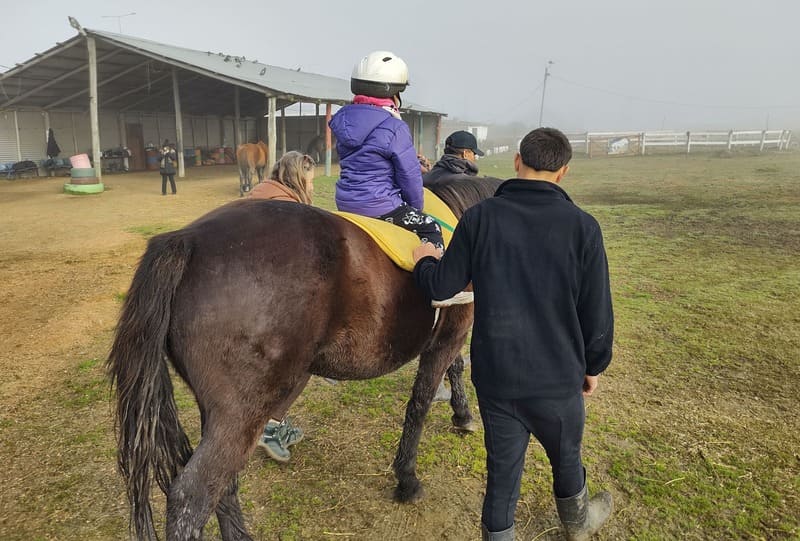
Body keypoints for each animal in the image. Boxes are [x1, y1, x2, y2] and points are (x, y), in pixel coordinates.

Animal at [107, 175, 503, 540]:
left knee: (223, 485)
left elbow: (454, 370)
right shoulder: (449, 336)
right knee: (192, 496)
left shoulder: (448, 336)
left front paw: (461, 415)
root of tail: (187, 240)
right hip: (243, 411)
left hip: (224, 414)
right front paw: (408, 477)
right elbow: (420, 402)